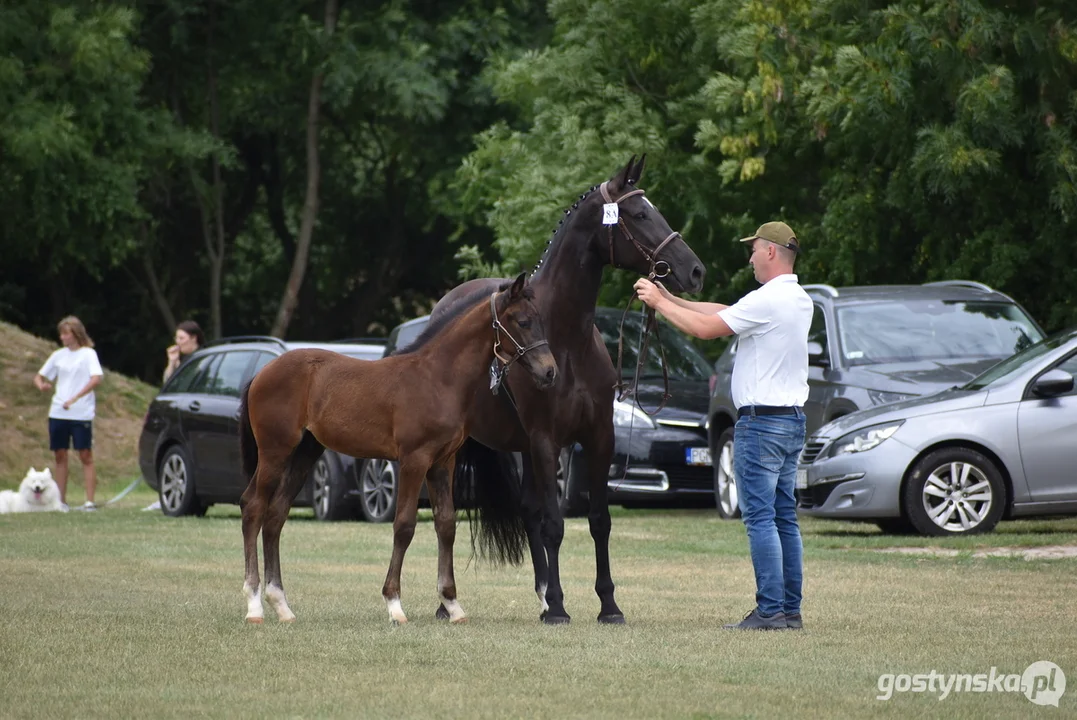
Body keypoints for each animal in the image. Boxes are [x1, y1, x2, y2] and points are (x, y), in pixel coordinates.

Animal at [235, 275, 555, 624]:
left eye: (541, 319)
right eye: (523, 321)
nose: (549, 371)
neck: (437, 378)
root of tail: (261, 373)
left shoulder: (443, 462)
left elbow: (446, 525)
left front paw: (453, 605)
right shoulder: (414, 460)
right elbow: (404, 526)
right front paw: (394, 604)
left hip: (305, 453)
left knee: (276, 515)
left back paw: (281, 605)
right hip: (275, 452)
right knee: (253, 507)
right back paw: (254, 605)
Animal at [428, 157, 706, 624]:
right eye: (639, 214)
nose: (695, 271)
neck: (565, 339)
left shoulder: (597, 438)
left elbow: (598, 520)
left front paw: (607, 605)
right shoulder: (546, 440)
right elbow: (555, 524)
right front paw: (559, 606)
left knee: (526, 510)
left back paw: (540, 593)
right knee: (445, 511)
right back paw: (447, 603)